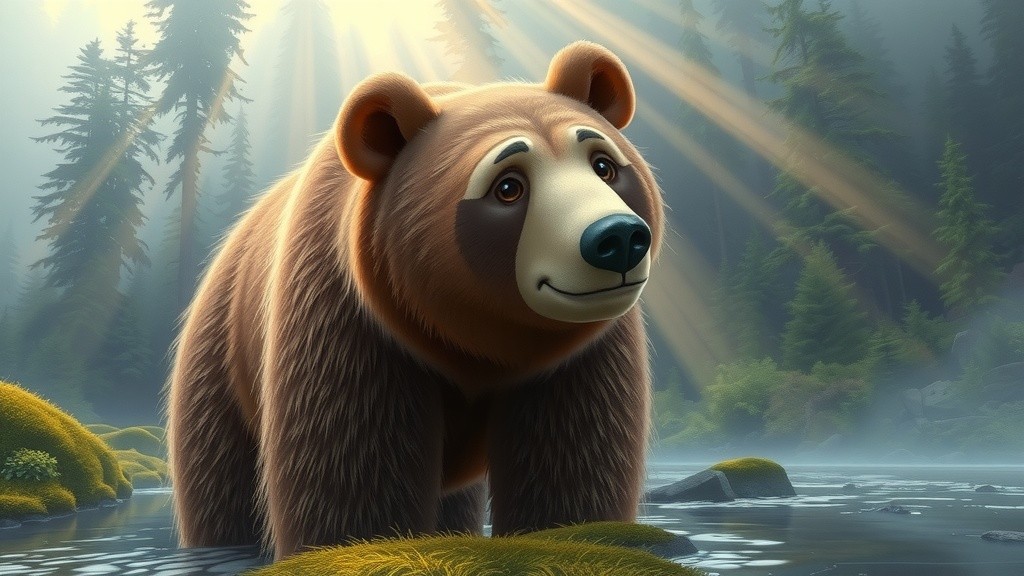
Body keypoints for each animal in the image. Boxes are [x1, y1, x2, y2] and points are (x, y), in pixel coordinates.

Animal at [167, 40, 664, 560]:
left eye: (603, 165)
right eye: (508, 185)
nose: (617, 237)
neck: (471, 335)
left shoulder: (575, 358)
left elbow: (572, 461)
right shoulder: (343, 316)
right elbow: (350, 463)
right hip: (220, 358)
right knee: (223, 481)